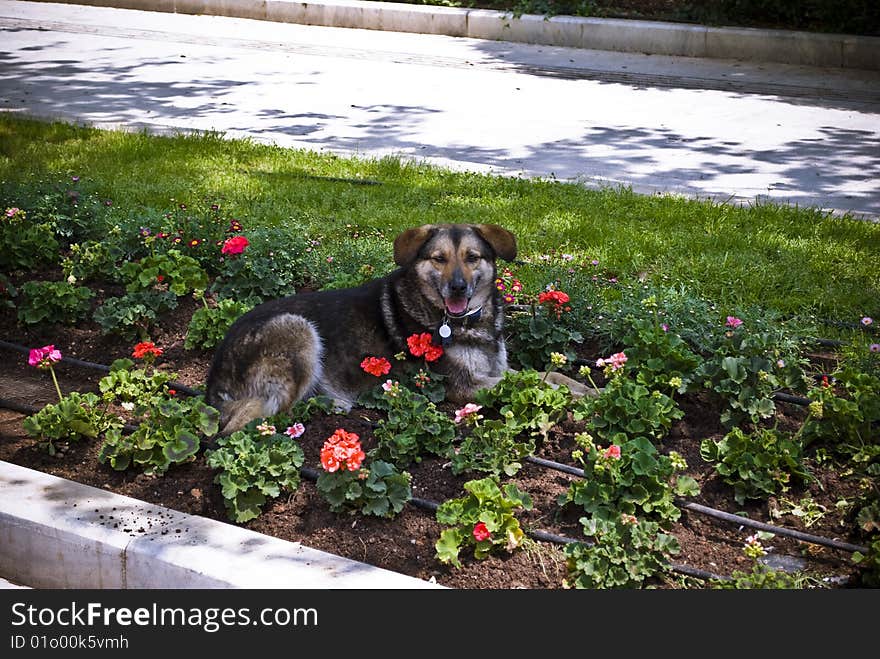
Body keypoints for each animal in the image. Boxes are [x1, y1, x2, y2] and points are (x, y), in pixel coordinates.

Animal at [205, 224, 592, 436]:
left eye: (472, 258)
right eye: (438, 259)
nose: (457, 288)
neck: (464, 320)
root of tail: (214, 374)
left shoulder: (498, 368)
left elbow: (552, 375)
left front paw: (591, 391)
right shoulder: (465, 387)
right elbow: (538, 386)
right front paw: (581, 402)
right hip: (297, 330)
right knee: (238, 425)